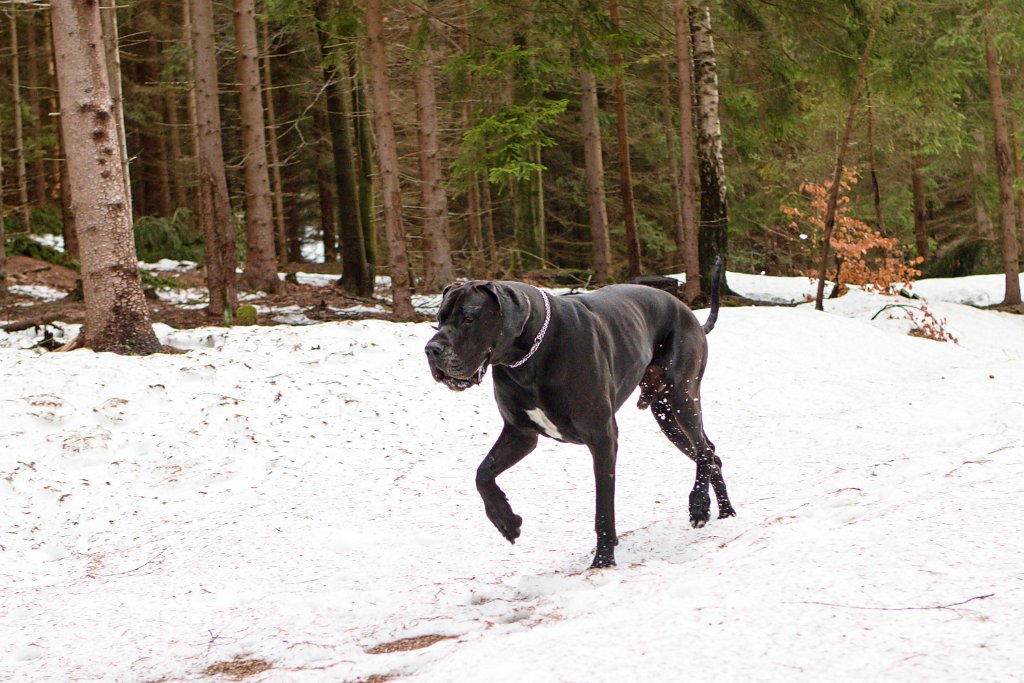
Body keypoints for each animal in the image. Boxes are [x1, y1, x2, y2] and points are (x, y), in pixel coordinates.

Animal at [425, 264, 737, 569]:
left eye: (469, 318)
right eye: (439, 319)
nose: (431, 349)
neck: (528, 359)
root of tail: (688, 312)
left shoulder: (602, 437)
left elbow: (603, 508)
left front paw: (603, 560)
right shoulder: (520, 433)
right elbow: (483, 474)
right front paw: (506, 520)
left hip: (682, 397)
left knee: (703, 451)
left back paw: (699, 506)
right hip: (666, 416)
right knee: (711, 453)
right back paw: (726, 512)